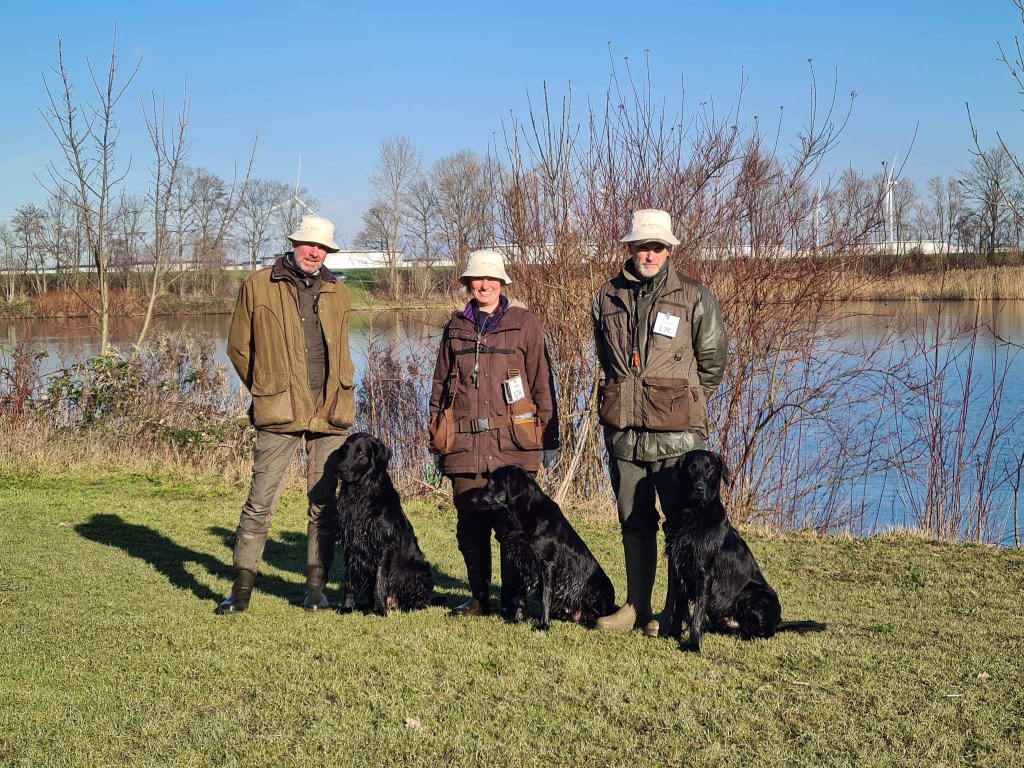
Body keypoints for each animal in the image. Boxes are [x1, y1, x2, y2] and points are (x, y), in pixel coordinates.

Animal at [335, 432, 433, 615]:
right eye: (344, 450)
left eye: (360, 452)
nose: (340, 469)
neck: (361, 494)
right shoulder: (350, 542)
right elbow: (349, 579)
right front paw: (347, 606)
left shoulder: (384, 544)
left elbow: (380, 581)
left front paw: (379, 610)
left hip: (419, 567)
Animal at [472, 465, 615, 630]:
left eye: (493, 482)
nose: (472, 499)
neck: (524, 515)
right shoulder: (522, 563)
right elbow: (521, 596)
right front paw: (518, 619)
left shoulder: (549, 565)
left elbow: (546, 598)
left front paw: (544, 625)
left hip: (600, 586)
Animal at [663, 450, 825, 652]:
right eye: (691, 468)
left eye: (710, 469)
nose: (699, 489)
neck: (693, 514)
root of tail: (778, 622)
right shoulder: (679, 567)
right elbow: (678, 608)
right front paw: (672, 635)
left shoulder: (704, 573)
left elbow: (697, 612)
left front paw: (693, 644)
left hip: (752, 598)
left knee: (765, 632)